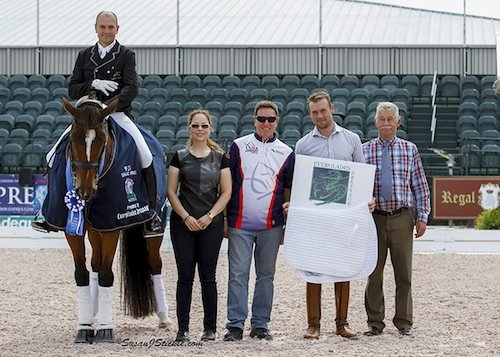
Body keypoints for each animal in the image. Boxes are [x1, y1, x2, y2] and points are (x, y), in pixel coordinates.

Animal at [52, 96, 171, 342]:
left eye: (102, 140)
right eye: (73, 139)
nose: (84, 191)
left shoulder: (111, 226)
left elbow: (107, 275)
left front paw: (105, 330)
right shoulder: (73, 229)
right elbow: (82, 274)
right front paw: (85, 327)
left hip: (153, 226)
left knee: (154, 263)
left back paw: (164, 317)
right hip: (93, 228)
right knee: (95, 264)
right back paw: (93, 311)